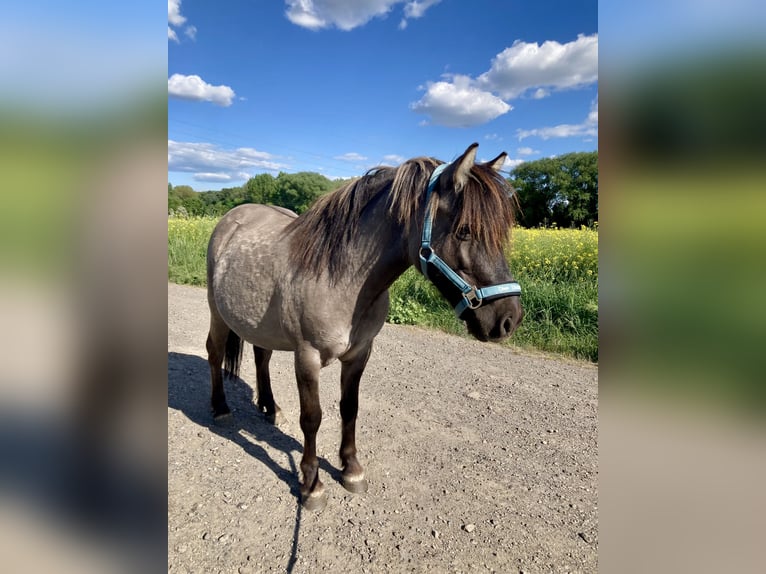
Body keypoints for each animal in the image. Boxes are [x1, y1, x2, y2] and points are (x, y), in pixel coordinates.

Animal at [205, 143, 523, 511]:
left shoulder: (359, 354)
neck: (341, 277)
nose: (509, 319)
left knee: (261, 357)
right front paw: (312, 485)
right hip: (217, 312)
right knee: (214, 352)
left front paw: (351, 469)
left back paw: (270, 408)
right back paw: (221, 409)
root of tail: (232, 218)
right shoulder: (307, 357)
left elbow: (349, 408)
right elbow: (312, 419)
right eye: (465, 231)